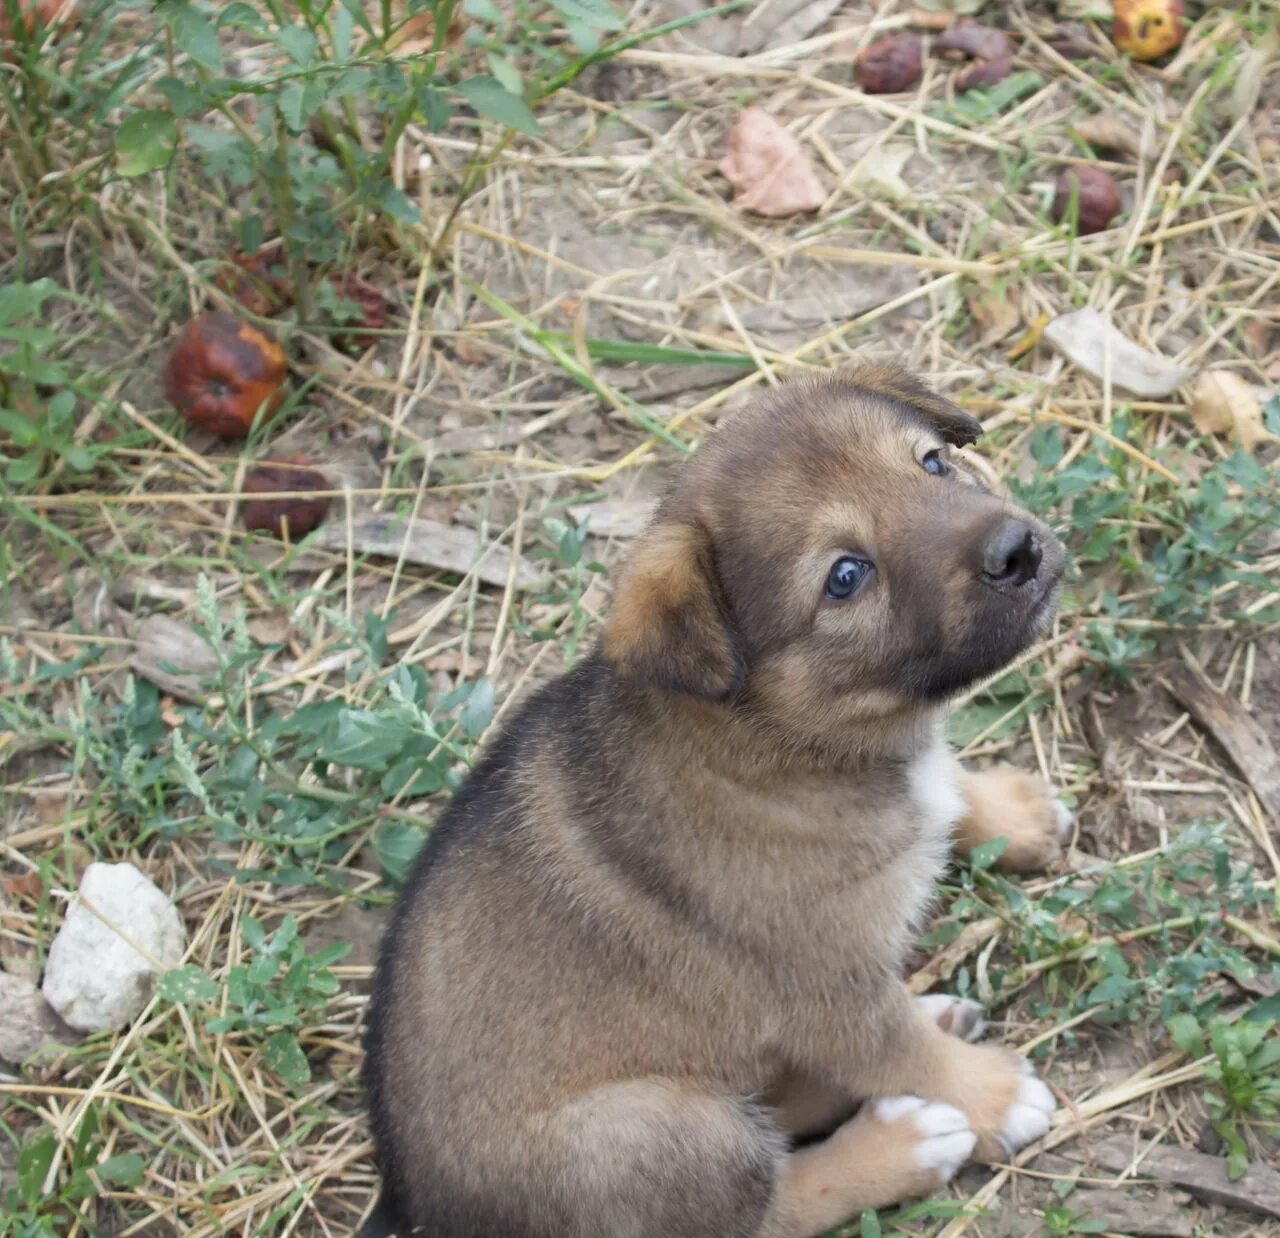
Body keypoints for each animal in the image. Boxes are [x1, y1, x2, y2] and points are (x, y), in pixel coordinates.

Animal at [363, 368, 1070, 1238]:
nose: (1018, 550)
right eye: (845, 577)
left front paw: (1010, 812)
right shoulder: (828, 989)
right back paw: (905, 1141)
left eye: (933, 463)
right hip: (662, 1131)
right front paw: (992, 1095)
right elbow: (901, 1050)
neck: (786, 743)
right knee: (772, 1206)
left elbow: (949, 793)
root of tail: (417, 1211)